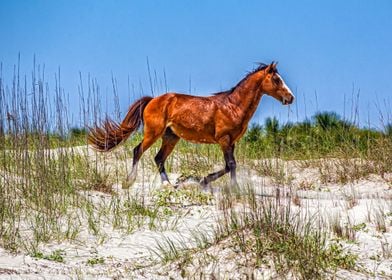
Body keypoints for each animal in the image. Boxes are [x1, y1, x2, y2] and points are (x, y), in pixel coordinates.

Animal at [87, 61, 292, 188]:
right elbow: (231, 165)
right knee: (138, 151)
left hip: (171, 137)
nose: (290, 98)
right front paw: (234, 189)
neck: (233, 106)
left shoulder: (231, 142)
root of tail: (152, 100)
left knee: (159, 158)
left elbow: (229, 166)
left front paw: (205, 180)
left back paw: (168, 185)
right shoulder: (224, 140)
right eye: (276, 79)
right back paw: (129, 181)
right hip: (153, 133)